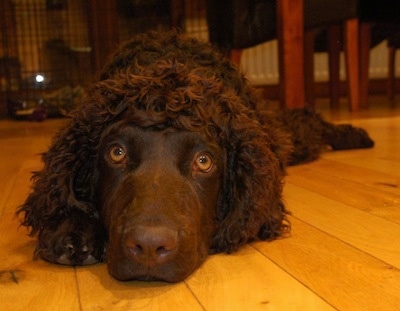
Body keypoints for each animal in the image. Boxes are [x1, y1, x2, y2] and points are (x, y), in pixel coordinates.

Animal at [17, 31, 374, 282]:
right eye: (116, 153)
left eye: (204, 161)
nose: (149, 248)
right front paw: (72, 227)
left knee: (306, 121)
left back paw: (353, 135)